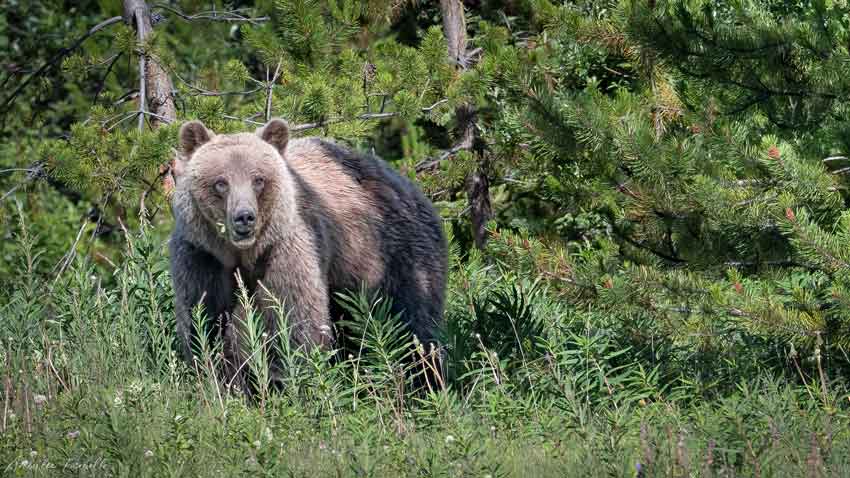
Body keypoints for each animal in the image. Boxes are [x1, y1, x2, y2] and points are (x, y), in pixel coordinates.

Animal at [169, 118, 448, 388]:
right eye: (221, 182)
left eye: (258, 179)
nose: (244, 217)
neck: (243, 255)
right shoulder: (203, 257)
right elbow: (204, 322)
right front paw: (228, 379)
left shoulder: (286, 250)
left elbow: (296, 320)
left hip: (391, 253)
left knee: (412, 323)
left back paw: (426, 379)